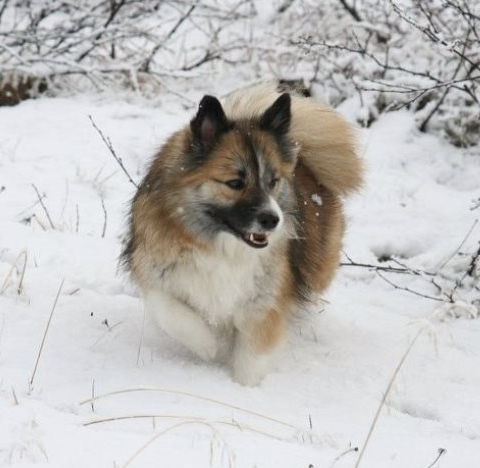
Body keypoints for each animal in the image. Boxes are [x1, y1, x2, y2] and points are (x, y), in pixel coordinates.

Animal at [122, 82, 362, 386]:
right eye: (235, 183)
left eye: (273, 182)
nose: (273, 220)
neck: (221, 246)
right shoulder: (156, 272)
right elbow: (169, 311)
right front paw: (206, 345)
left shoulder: (263, 302)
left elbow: (252, 356)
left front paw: (245, 389)